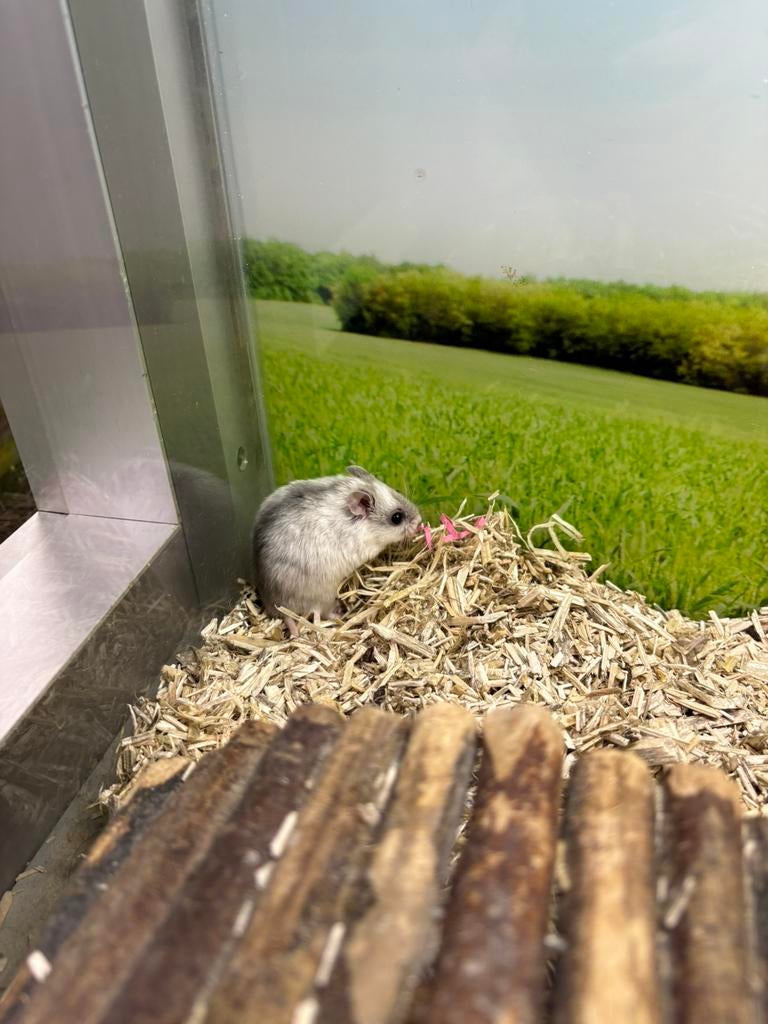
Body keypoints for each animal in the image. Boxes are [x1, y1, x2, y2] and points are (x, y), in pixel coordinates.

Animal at [252, 465, 421, 635]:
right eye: (397, 518)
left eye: (397, 490)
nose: (419, 521)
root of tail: (275, 606)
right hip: (323, 596)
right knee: (322, 613)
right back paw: (338, 615)